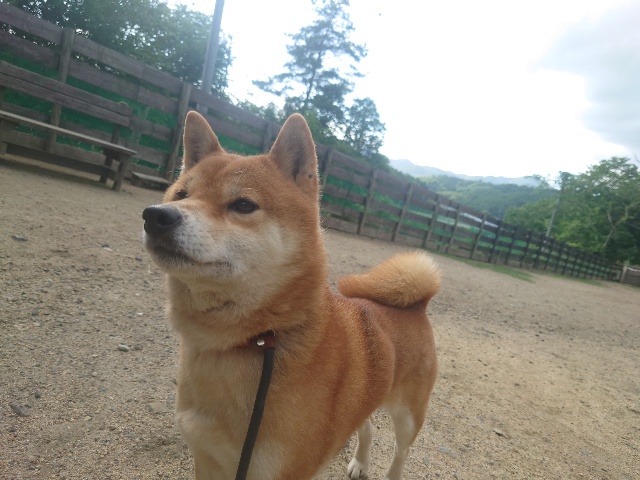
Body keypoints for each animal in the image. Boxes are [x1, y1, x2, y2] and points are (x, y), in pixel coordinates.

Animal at [142, 111, 440, 480]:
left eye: (243, 204)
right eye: (180, 194)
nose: (156, 215)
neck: (257, 339)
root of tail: (416, 306)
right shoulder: (207, 457)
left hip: (408, 416)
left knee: (401, 453)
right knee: (367, 426)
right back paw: (359, 462)